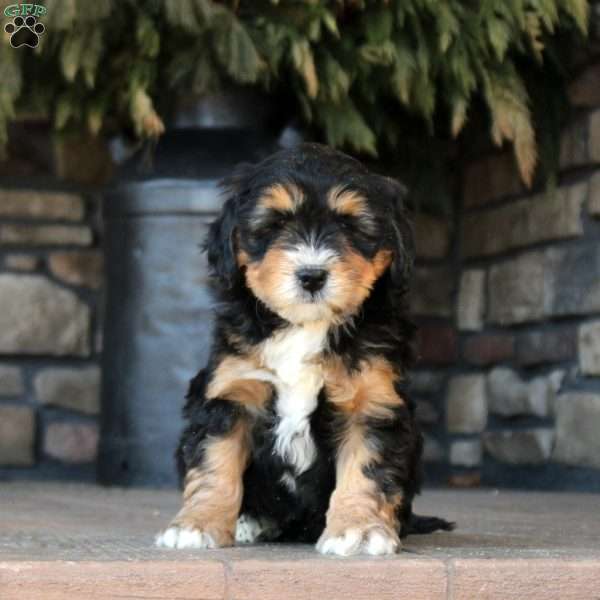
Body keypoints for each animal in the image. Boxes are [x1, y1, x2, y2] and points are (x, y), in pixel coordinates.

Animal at [157, 143, 452, 556]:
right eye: (275, 224)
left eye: (349, 225)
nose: (312, 275)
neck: (305, 327)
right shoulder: (231, 391)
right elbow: (214, 464)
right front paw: (196, 525)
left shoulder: (371, 399)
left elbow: (367, 469)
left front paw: (358, 530)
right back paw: (251, 522)